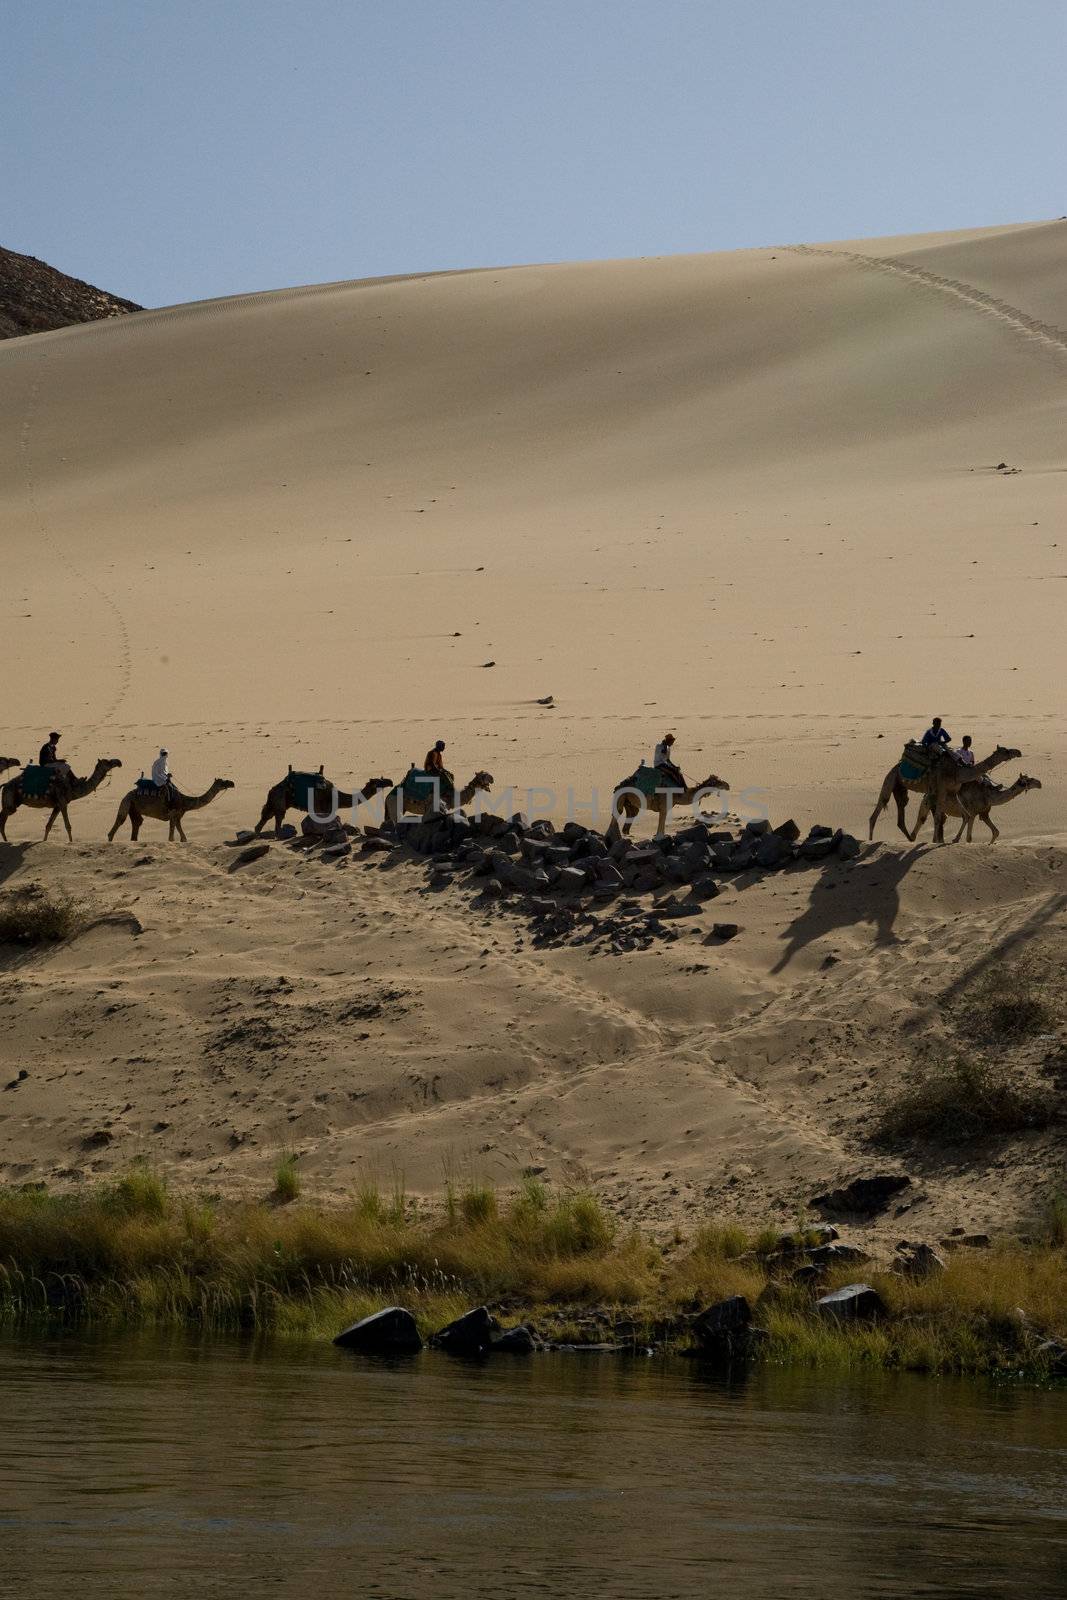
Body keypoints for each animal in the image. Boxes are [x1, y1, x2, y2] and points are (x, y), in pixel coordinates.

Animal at [107, 777, 235, 844]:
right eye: (223, 781)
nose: (232, 783)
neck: (185, 801)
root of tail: (126, 795)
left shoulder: (178, 815)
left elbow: (182, 835)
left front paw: (182, 839)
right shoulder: (174, 813)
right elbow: (172, 835)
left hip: (134, 808)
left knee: (137, 823)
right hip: (126, 802)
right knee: (120, 820)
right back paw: (110, 839)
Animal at [252, 764, 395, 838]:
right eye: (379, 781)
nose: (390, 782)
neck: (337, 797)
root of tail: (273, 789)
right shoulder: (325, 809)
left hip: (274, 803)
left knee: (264, 818)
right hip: (279, 801)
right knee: (277, 820)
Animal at [863, 742, 1023, 844]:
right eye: (1005, 750)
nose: (1018, 752)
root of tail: (897, 765)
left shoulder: (953, 794)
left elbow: (965, 816)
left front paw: (948, 840)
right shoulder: (942, 791)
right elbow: (942, 819)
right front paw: (939, 841)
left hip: (901, 788)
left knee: (902, 813)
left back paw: (911, 838)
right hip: (891, 779)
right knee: (880, 807)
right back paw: (870, 840)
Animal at [908, 771, 1043, 844]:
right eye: (1026, 781)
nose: (1039, 783)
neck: (988, 795)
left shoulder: (984, 813)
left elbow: (996, 832)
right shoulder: (972, 811)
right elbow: (969, 837)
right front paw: (956, 839)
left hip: (938, 806)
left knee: (940, 819)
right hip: (929, 801)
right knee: (923, 817)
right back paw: (917, 837)